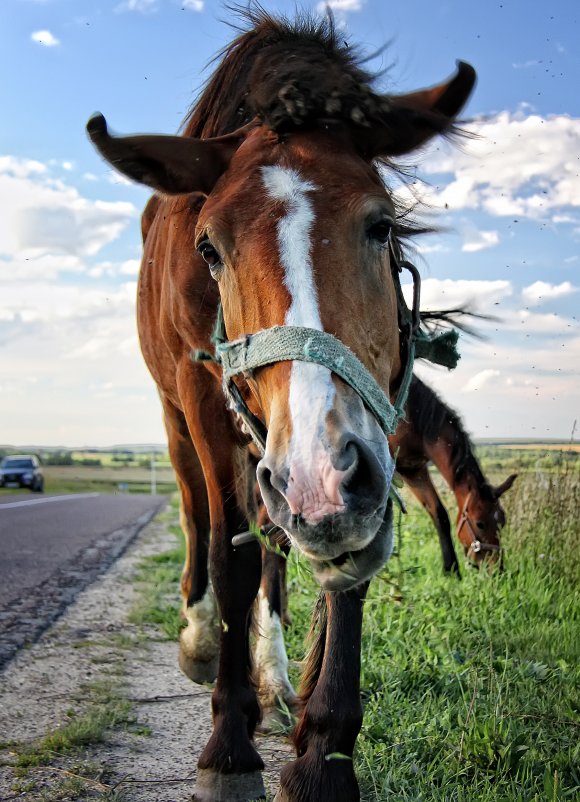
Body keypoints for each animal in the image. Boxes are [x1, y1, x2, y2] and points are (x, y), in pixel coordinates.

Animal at [87, 12, 476, 800]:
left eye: (381, 225)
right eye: (209, 248)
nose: (321, 478)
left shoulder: (368, 434)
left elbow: (343, 568)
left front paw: (322, 756)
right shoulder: (206, 405)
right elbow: (227, 555)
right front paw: (229, 750)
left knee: (273, 541)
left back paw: (271, 676)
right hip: (184, 421)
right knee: (198, 515)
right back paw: (204, 642)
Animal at [394, 372, 516, 572]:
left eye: (502, 522)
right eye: (480, 524)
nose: (497, 569)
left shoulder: (413, 470)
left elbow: (439, 514)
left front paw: (451, 570)